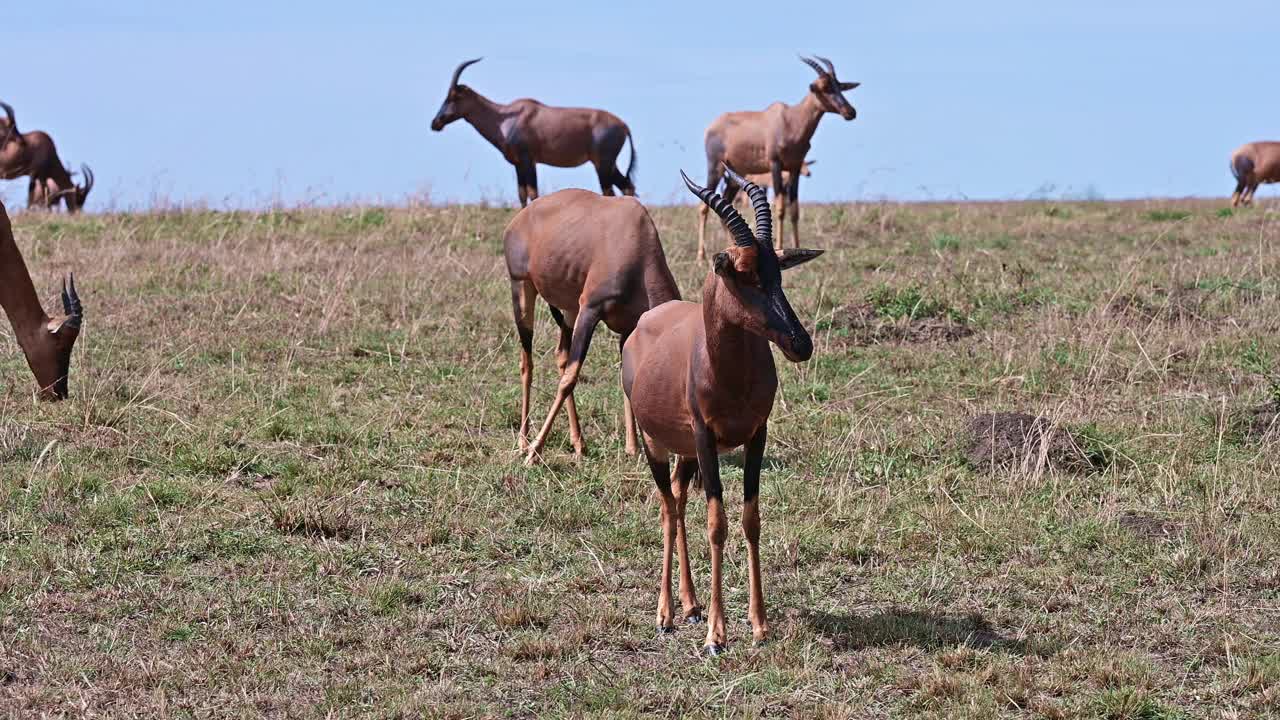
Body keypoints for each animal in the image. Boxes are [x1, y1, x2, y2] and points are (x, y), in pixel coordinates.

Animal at [432, 58, 637, 206]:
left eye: (453, 96)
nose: (435, 123)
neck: (506, 117)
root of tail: (624, 125)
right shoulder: (518, 164)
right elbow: (522, 194)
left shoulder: (528, 160)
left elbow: (533, 193)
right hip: (609, 164)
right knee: (627, 187)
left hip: (602, 164)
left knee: (610, 192)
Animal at [504, 188, 680, 461]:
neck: (635, 237)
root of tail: (520, 218)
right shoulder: (590, 309)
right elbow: (570, 379)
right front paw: (534, 452)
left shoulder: (629, 329)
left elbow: (625, 378)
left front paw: (632, 448)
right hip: (522, 288)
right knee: (528, 362)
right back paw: (524, 442)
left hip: (570, 309)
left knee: (561, 355)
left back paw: (579, 443)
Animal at [624, 165, 824, 653]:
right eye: (743, 275)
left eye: (778, 273)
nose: (800, 344)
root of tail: (645, 324)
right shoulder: (705, 436)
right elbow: (717, 522)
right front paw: (718, 634)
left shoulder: (756, 434)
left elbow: (751, 518)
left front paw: (759, 624)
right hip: (659, 444)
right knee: (667, 508)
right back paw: (666, 614)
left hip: (686, 453)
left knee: (678, 500)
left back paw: (690, 605)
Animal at [696, 56, 855, 257]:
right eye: (825, 87)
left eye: (839, 85)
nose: (850, 112)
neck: (790, 120)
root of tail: (711, 126)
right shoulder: (775, 165)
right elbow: (780, 207)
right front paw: (779, 246)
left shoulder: (795, 167)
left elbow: (794, 209)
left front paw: (797, 245)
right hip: (715, 167)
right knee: (703, 208)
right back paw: (700, 257)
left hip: (734, 175)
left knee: (726, 204)